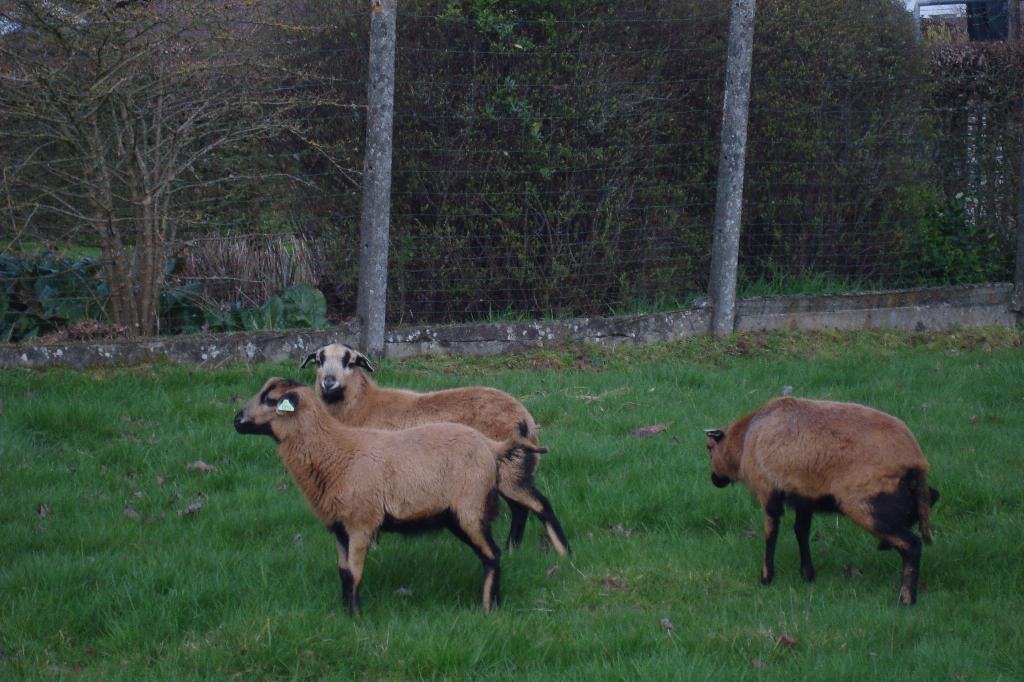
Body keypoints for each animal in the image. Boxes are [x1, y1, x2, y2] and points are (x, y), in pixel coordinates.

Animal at [233, 377, 543, 615]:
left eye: (271, 399)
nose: (237, 420)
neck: (334, 453)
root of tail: (492, 446)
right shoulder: (340, 529)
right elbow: (343, 573)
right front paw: (344, 613)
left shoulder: (361, 523)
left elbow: (354, 574)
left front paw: (356, 618)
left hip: (470, 509)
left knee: (493, 555)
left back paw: (489, 607)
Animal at [300, 343, 571, 556]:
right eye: (319, 360)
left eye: (349, 361)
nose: (329, 383)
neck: (363, 406)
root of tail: (527, 419)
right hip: (509, 470)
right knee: (521, 509)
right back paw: (513, 549)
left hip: (510, 469)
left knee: (540, 505)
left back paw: (563, 552)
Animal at [704, 396, 939, 605]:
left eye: (709, 448)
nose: (714, 480)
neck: (745, 439)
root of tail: (916, 459)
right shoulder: (804, 497)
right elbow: (801, 531)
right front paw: (807, 575)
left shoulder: (768, 490)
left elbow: (771, 534)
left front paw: (766, 578)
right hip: (902, 494)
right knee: (932, 499)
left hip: (868, 502)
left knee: (912, 544)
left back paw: (906, 598)